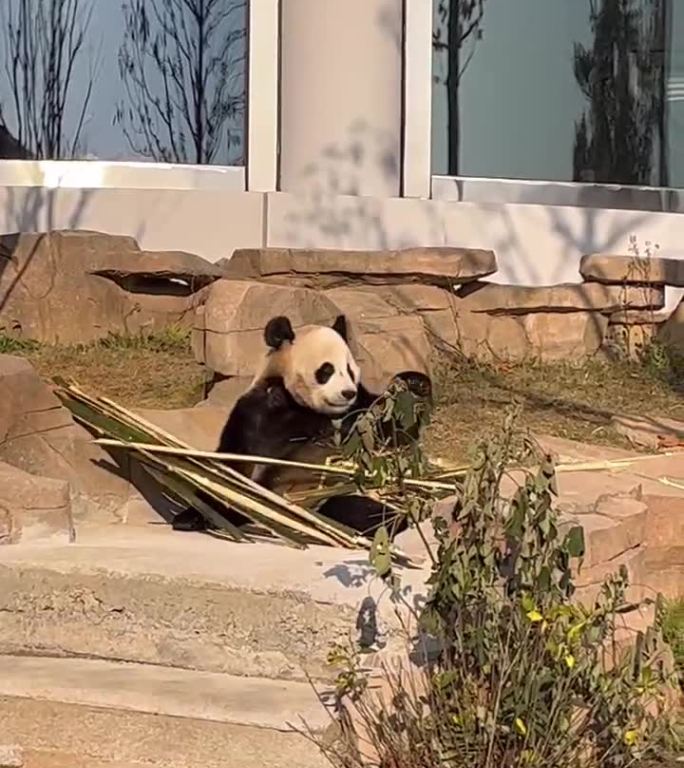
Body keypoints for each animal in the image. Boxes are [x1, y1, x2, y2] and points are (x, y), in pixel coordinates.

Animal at [174, 312, 436, 540]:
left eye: (349, 370)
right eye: (327, 370)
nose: (347, 393)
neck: (310, 407)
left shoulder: (359, 412)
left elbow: (391, 431)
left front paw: (415, 384)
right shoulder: (260, 410)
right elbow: (237, 459)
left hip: (337, 492)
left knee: (369, 513)